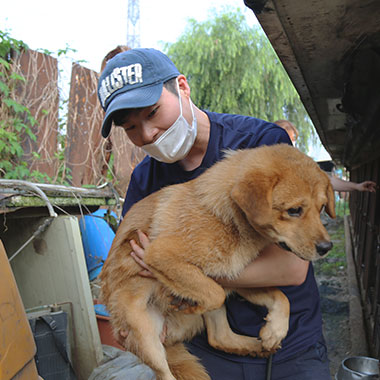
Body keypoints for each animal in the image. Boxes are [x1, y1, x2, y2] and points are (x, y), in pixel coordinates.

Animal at [99, 144, 334, 378]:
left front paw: (275, 330)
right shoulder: (160, 255)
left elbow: (280, 297)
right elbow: (216, 294)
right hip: (145, 334)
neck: (225, 216)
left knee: (219, 337)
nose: (326, 248)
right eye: (294, 210)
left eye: (321, 207)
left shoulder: (233, 277)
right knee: (165, 373)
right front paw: (189, 305)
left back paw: (256, 347)